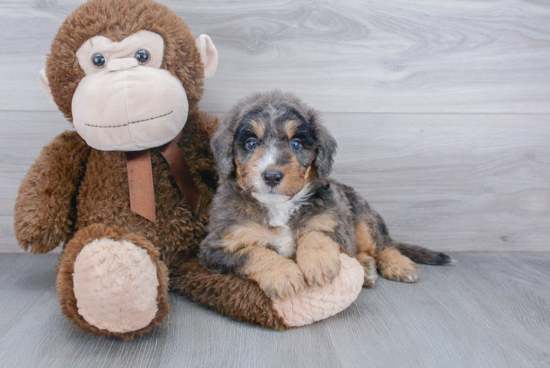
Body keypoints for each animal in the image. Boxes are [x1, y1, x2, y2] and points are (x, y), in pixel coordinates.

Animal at [201, 90, 450, 300]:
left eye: (296, 144)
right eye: (252, 143)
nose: (271, 176)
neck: (280, 207)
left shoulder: (335, 223)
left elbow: (317, 233)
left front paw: (319, 263)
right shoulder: (218, 245)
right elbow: (254, 252)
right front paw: (283, 275)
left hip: (363, 219)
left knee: (384, 245)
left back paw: (399, 265)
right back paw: (367, 269)